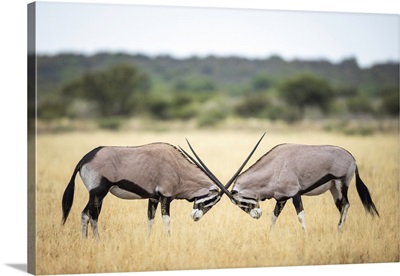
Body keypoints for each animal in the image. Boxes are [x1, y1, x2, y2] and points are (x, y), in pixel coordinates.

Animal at [61, 140, 262, 239]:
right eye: (211, 201)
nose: (195, 217)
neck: (177, 167)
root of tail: (85, 158)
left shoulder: (153, 198)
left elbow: (150, 219)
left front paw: (148, 240)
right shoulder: (165, 197)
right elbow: (166, 220)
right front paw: (169, 239)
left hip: (99, 196)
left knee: (92, 215)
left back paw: (95, 241)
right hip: (98, 192)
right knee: (86, 214)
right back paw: (89, 241)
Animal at [186, 141, 380, 232]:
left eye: (240, 201)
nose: (257, 215)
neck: (275, 166)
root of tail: (352, 158)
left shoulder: (295, 195)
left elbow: (301, 216)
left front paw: (306, 235)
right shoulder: (281, 199)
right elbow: (273, 217)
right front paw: (270, 235)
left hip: (341, 183)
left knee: (346, 205)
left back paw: (338, 230)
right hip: (333, 188)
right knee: (341, 206)